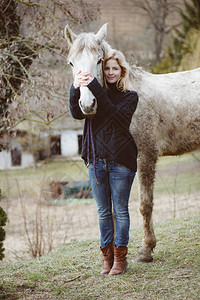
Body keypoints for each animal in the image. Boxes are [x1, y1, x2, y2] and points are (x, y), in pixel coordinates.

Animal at [64, 24, 200, 262]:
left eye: (99, 60)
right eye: (72, 63)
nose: (88, 104)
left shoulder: (145, 155)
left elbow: (145, 205)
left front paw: (146, 250)